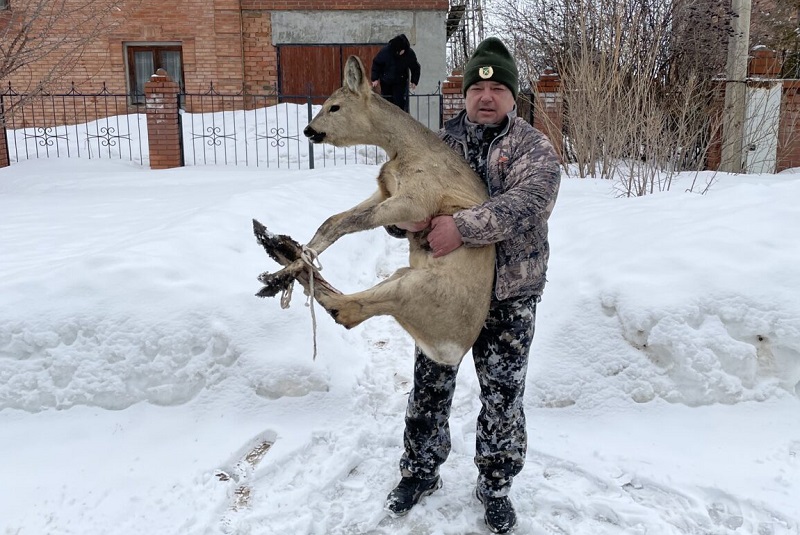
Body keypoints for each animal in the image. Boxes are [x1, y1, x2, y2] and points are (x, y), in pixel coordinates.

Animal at [253, 55, 495, 366]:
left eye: (334, 106)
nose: (309, 130)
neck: (403, 149)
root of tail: (451, 353)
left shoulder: (417, 201)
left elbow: (347, 224)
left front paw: (285, 268)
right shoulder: (384, 191)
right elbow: (330, 222)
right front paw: (296, 255)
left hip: (417, 287)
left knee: (345, 311)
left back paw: (274, 269)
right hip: (403, 275)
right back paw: (277, 247)